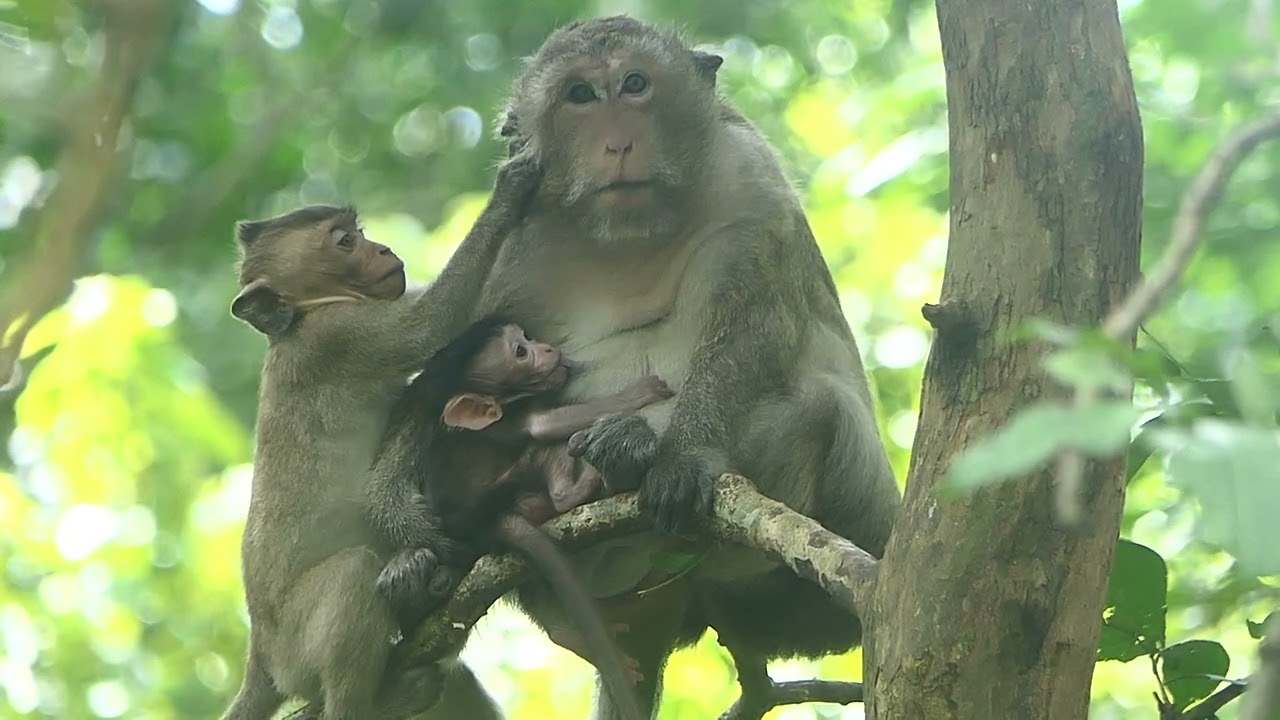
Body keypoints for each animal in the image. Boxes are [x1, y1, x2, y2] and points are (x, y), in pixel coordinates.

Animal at [218, 153, 538, 720]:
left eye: (361, 233)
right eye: (345, 240)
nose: (383, 248)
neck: (301, 318)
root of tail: (261, 655)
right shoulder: (341, 335)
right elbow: (429, 326)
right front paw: (507, 193)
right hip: (297, 646)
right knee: (351, 576)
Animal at [365, 316, 673, 720]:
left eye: (525, 337)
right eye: (520, 353)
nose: (547, 347)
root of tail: (489, 521)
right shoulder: (516, 416)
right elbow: (544, 426)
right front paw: (643, 391)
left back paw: (567, 631)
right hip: (518, 487)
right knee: (546, 453)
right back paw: (582, 484)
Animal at [429, 15, 904, 719]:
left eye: (634, 84)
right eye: (579, 96)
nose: (619, 142)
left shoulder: (747, 178)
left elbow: (748, 324)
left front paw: (680, 456)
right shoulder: (514, 232)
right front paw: (411, 549)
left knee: (819, 409)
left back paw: (630, 457)